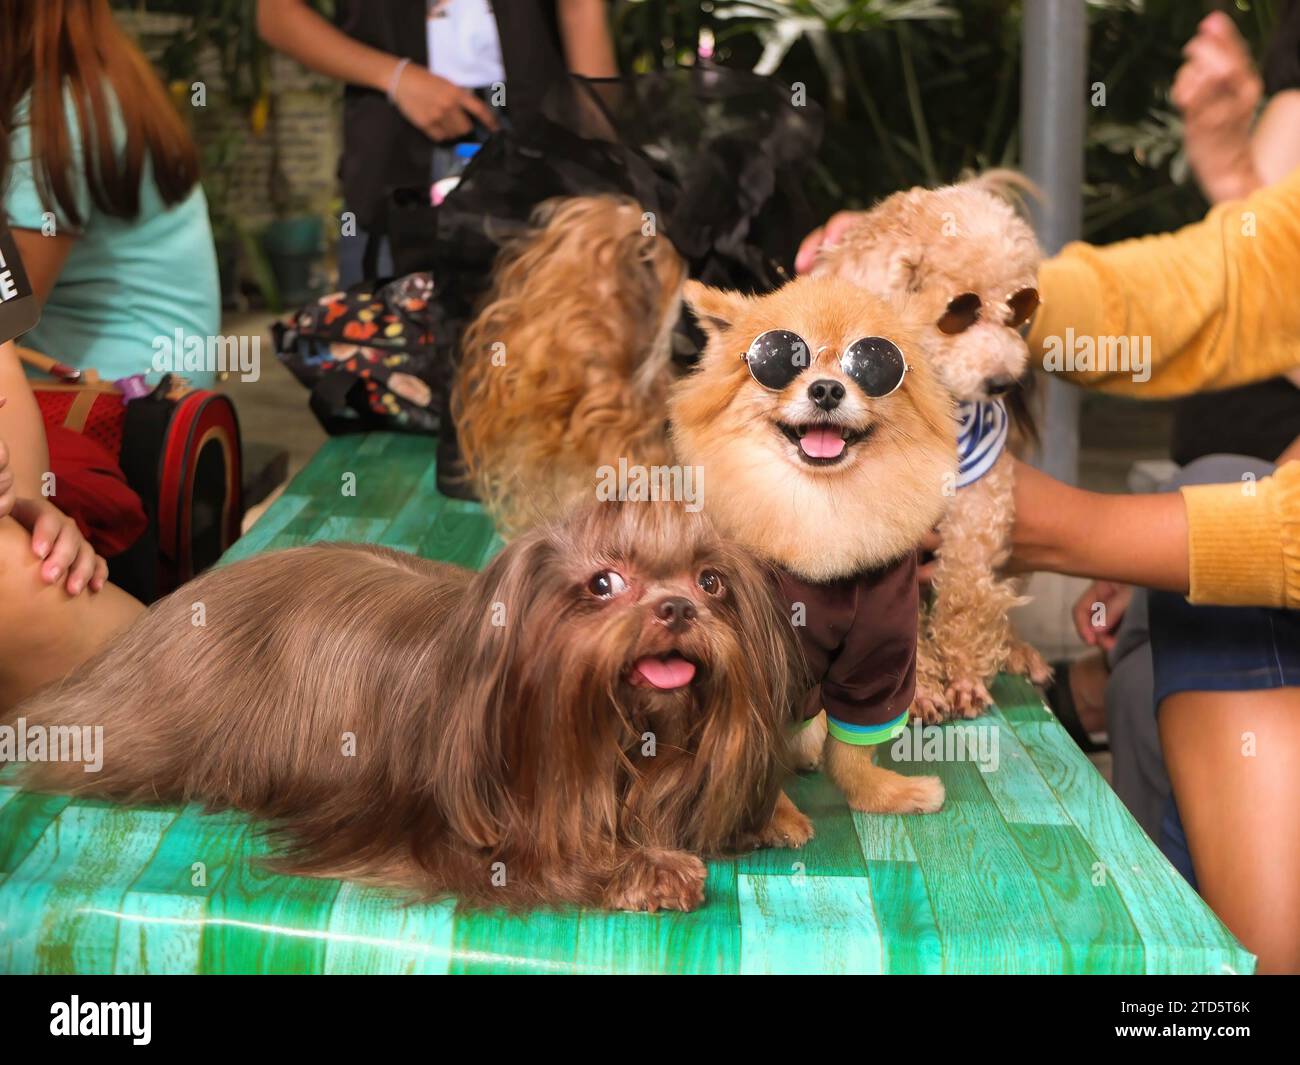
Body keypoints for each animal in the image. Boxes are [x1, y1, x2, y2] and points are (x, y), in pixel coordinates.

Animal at [7, 504, 800, 910]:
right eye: (602, 583)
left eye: (711, 581)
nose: (678, 608)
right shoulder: (470, 837)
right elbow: (550, 860)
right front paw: (647, 869)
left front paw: (772, 813)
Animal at [670, 274, 956, 816]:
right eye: (780, 359)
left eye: (873, 364)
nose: (826, 388)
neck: (820, 513)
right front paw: (777, 819)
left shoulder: (880, 649)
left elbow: (852, 746)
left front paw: (879, 795)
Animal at [821, 175, 1055, 723]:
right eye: (959, 313)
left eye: (1017, 309)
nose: (1003, 382)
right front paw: (921, 689)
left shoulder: (981, 495)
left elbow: (966, 586)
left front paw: (964, 673)